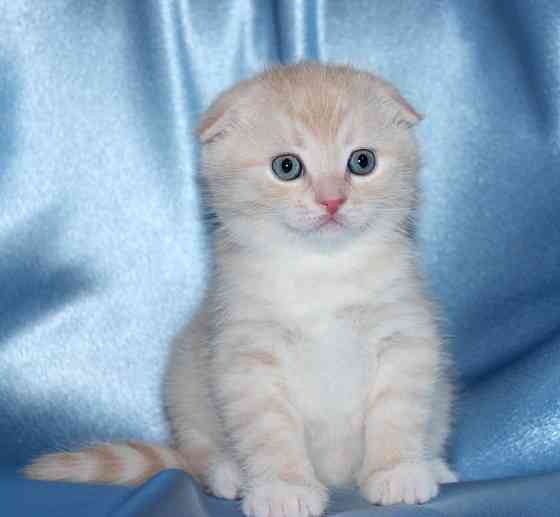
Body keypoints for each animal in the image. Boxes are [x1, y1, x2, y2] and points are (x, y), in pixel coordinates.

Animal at [24, 63, 458, 516]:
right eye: (287, 167)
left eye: (362, 161)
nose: (332, 201)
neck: (321, 271)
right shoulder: (245, 352)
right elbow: (270, 430)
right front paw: (284, 488)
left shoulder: (405, 334)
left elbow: (397, 411)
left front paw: (397, 470)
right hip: (183, 387)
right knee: (198, 455)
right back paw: (230, 474)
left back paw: (432, 464)